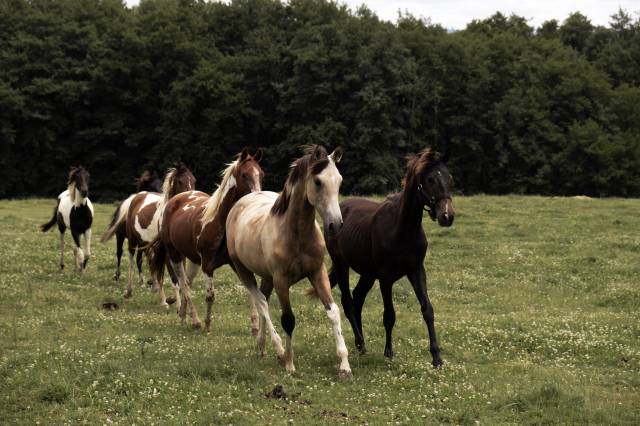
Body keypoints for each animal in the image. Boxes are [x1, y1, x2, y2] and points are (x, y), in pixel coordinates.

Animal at [101, 163, 196, 305]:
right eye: (180, 181)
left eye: (194, 180)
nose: (190, 196)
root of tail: (138, 196)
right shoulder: (166, 250)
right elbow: (173, 277)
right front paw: (177, 304)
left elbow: (181, 277)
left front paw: (171, 299)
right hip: (132, 241)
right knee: (131, 260)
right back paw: (128, 291)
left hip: (146, 244)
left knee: (150, 265)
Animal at [147, 148, 264, 331]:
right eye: (244, 175)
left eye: (261, 174)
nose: (257, 196)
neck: (220, 222)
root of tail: (176, 199)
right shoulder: (208, 266)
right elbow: (210, 296)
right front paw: (207, 325)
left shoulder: (235, 264)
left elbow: (251, 290)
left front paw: (255, 326)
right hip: (175, 255)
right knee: (183, 284)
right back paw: (195, 320)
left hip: (194, 260)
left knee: (187, 282)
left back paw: (183, 316)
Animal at [226, 145, 352, 378]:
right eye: (318, 181)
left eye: (339, 180)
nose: (335, 225)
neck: (297, 235)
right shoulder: (281, 280)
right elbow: (288, 320)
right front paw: (290, 364)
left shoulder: (317, 273)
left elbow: (334, 313)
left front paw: (345, 365)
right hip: (244, 271)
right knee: (261, 302)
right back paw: (279, 350)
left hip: (266, 276)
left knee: (263, 297)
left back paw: (262, 346)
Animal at [325, 147, 454, 368]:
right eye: (430, 179)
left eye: (449, 177)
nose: (447, 216)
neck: (402, 229)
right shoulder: (386, 278)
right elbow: (389, 315)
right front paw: (388, 352)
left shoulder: (416, 270)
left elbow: (427, 310)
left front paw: (436, 358)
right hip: (341, 264)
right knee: (348, 301)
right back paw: (360, 343)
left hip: (367, 273)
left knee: (358, 298)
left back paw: (361, 344)